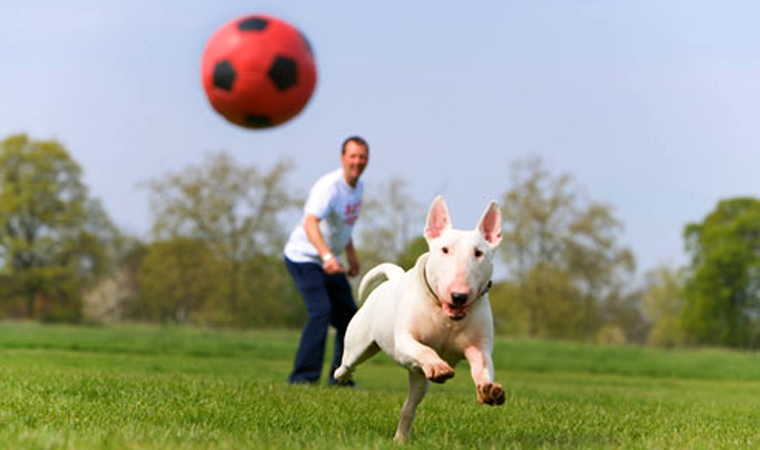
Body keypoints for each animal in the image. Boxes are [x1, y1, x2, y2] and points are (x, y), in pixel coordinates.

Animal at [332, 195, 504, 442]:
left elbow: (481, 366)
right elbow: (423, 349)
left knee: (409, 407)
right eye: (444, 250)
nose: (459, 296)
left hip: (419, 381)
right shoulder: (404, 342)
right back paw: (341, 376)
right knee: (348, 363)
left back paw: (400, 438)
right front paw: (438, 366)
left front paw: (490, 390)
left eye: (479, 253)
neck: (446, 317)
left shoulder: (478, 348)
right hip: (358, 344)